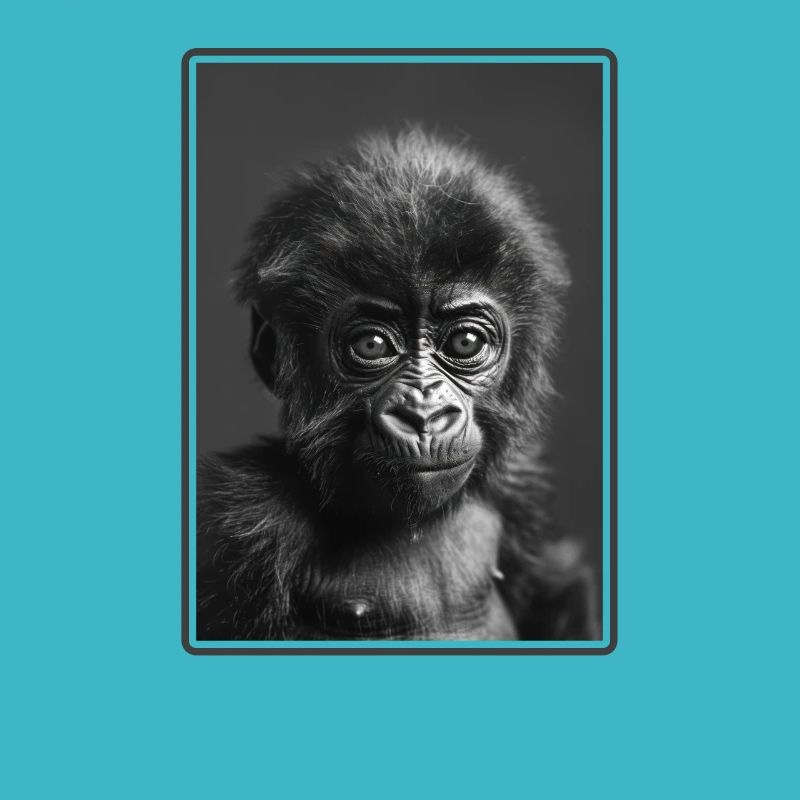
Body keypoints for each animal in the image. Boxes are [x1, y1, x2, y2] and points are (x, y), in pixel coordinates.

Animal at [197, 128, 599, 641]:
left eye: (466, 341)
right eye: (371, 345)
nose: (424, 414)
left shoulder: (521, 484)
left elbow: (556, 592)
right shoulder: (241, 525)